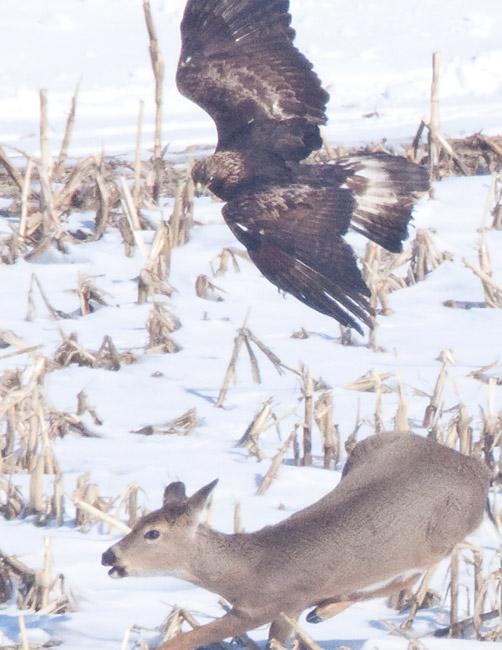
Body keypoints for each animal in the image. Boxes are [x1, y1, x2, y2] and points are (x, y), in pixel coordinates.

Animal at [101, 430, 490, 648]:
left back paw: (327, 610)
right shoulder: (279, 610)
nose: (109, 556)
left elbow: (183, 640)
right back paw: (325, 609)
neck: (249, 570)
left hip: (442, 534)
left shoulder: (270, 606)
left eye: (153, 533)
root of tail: (479, 468)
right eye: (138, 521)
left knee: (415, 572)